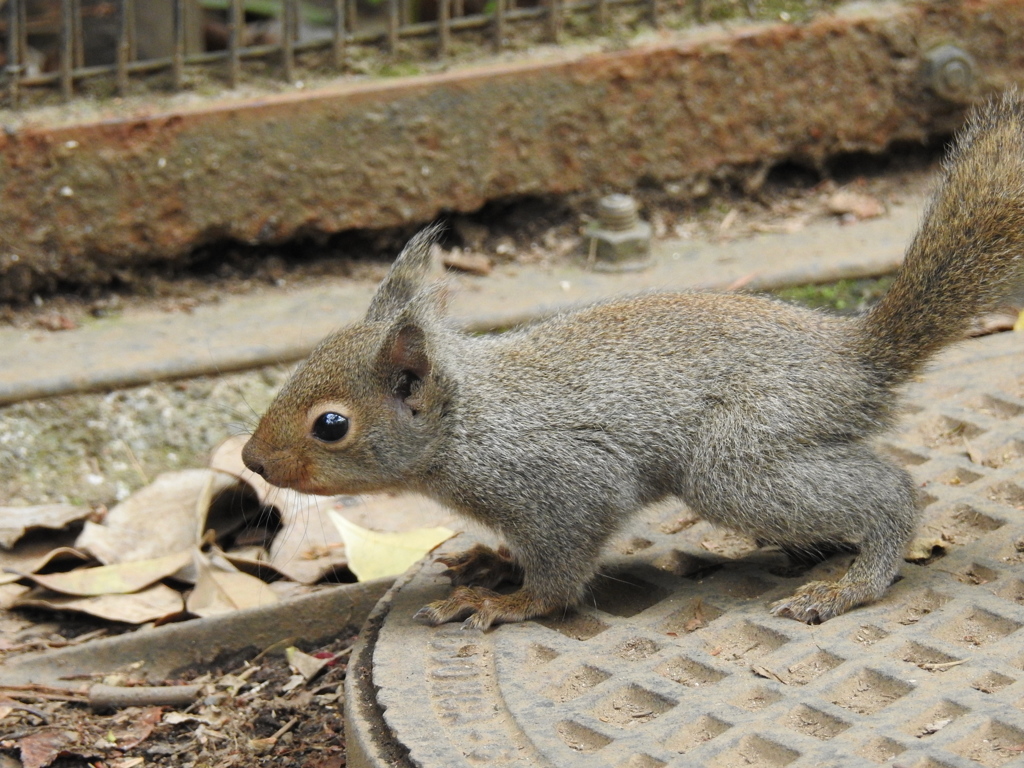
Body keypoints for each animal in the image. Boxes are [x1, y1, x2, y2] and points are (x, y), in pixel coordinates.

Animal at [245, 91, 1024, 630]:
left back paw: (854, 581)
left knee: (889, 491)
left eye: (331, 425)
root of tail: (859, 355)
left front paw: (511, 602)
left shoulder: (562, 482)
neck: (468, 423)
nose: (251, 461)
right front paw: (491, 561)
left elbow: (563, 565)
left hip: (745, 453)